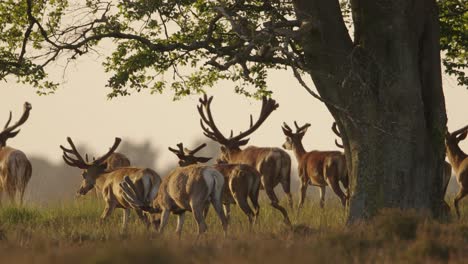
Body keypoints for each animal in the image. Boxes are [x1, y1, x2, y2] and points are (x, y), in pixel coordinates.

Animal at [197, 95, 292, 225]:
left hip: (264, 180)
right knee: (290, 198)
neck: (235, 155)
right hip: (286, 177)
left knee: (271, 202)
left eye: (222, 150)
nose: (218, 160)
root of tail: (280, 156)